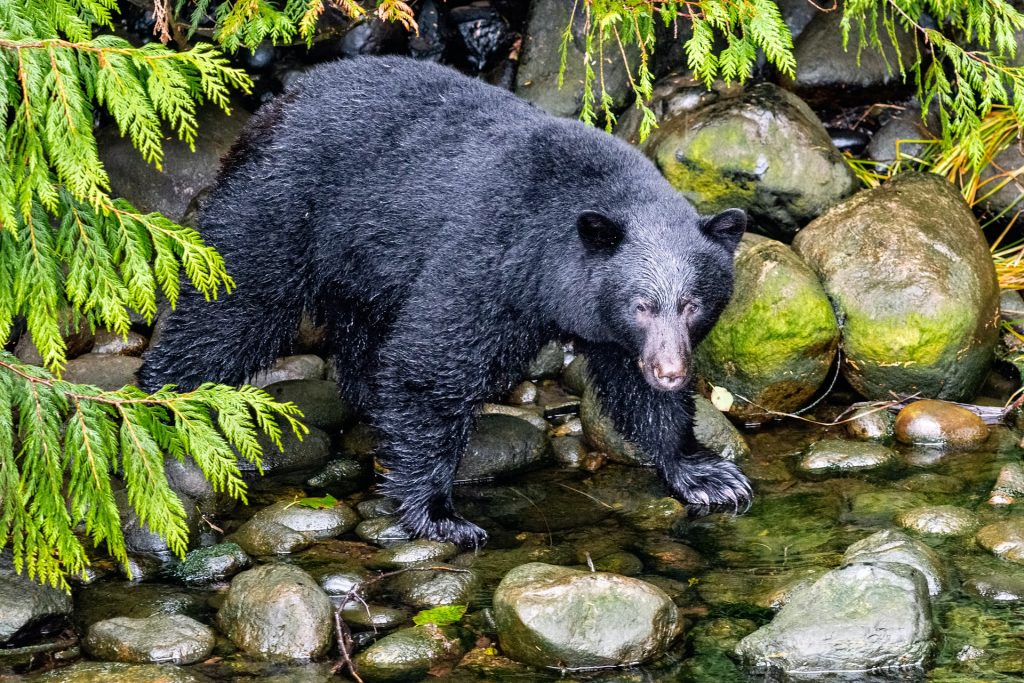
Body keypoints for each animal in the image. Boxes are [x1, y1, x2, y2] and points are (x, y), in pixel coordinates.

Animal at [138, 56, 752, 547]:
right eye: (641, 304)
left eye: (693, 304)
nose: (672, 371)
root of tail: (275, 106)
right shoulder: (489, 259)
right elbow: (431, 364)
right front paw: (439, 513)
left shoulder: (611, 331)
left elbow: (635, 390)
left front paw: (705, 474)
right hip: (282, 209)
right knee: (235, 309)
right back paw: (165, 400)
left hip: (361, 259)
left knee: (360, 331)